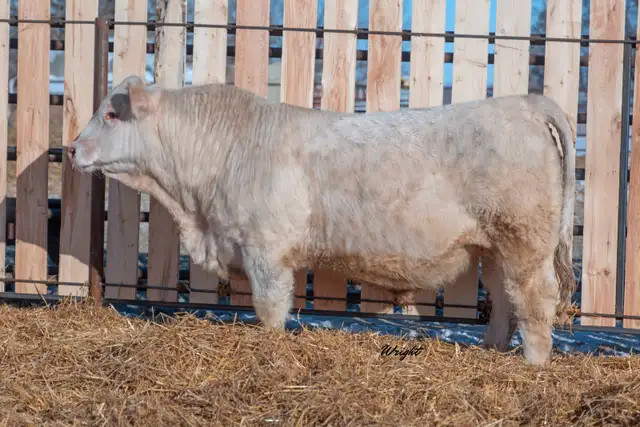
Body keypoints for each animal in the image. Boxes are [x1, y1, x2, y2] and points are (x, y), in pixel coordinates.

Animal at [69, 75, 576, 366]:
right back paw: (491, 350)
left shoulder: (265, 251)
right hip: (494, 247)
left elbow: (270, 309)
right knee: (507, 299)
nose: (71, 149)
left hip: (524, 239)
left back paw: (534, 364)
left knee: (536, 299)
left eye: (111, 114)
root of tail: (527, 104)